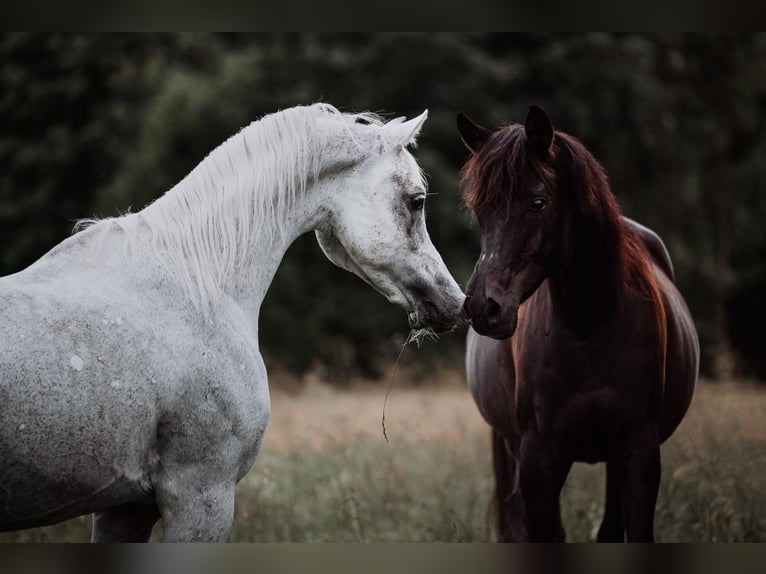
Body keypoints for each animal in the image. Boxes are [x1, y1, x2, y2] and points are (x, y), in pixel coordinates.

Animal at [457, 105, 699, 542]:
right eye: (480, 211)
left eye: (537, 202)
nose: (484, 306)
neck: (591, 324)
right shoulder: (537, 463)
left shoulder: (639, 453)